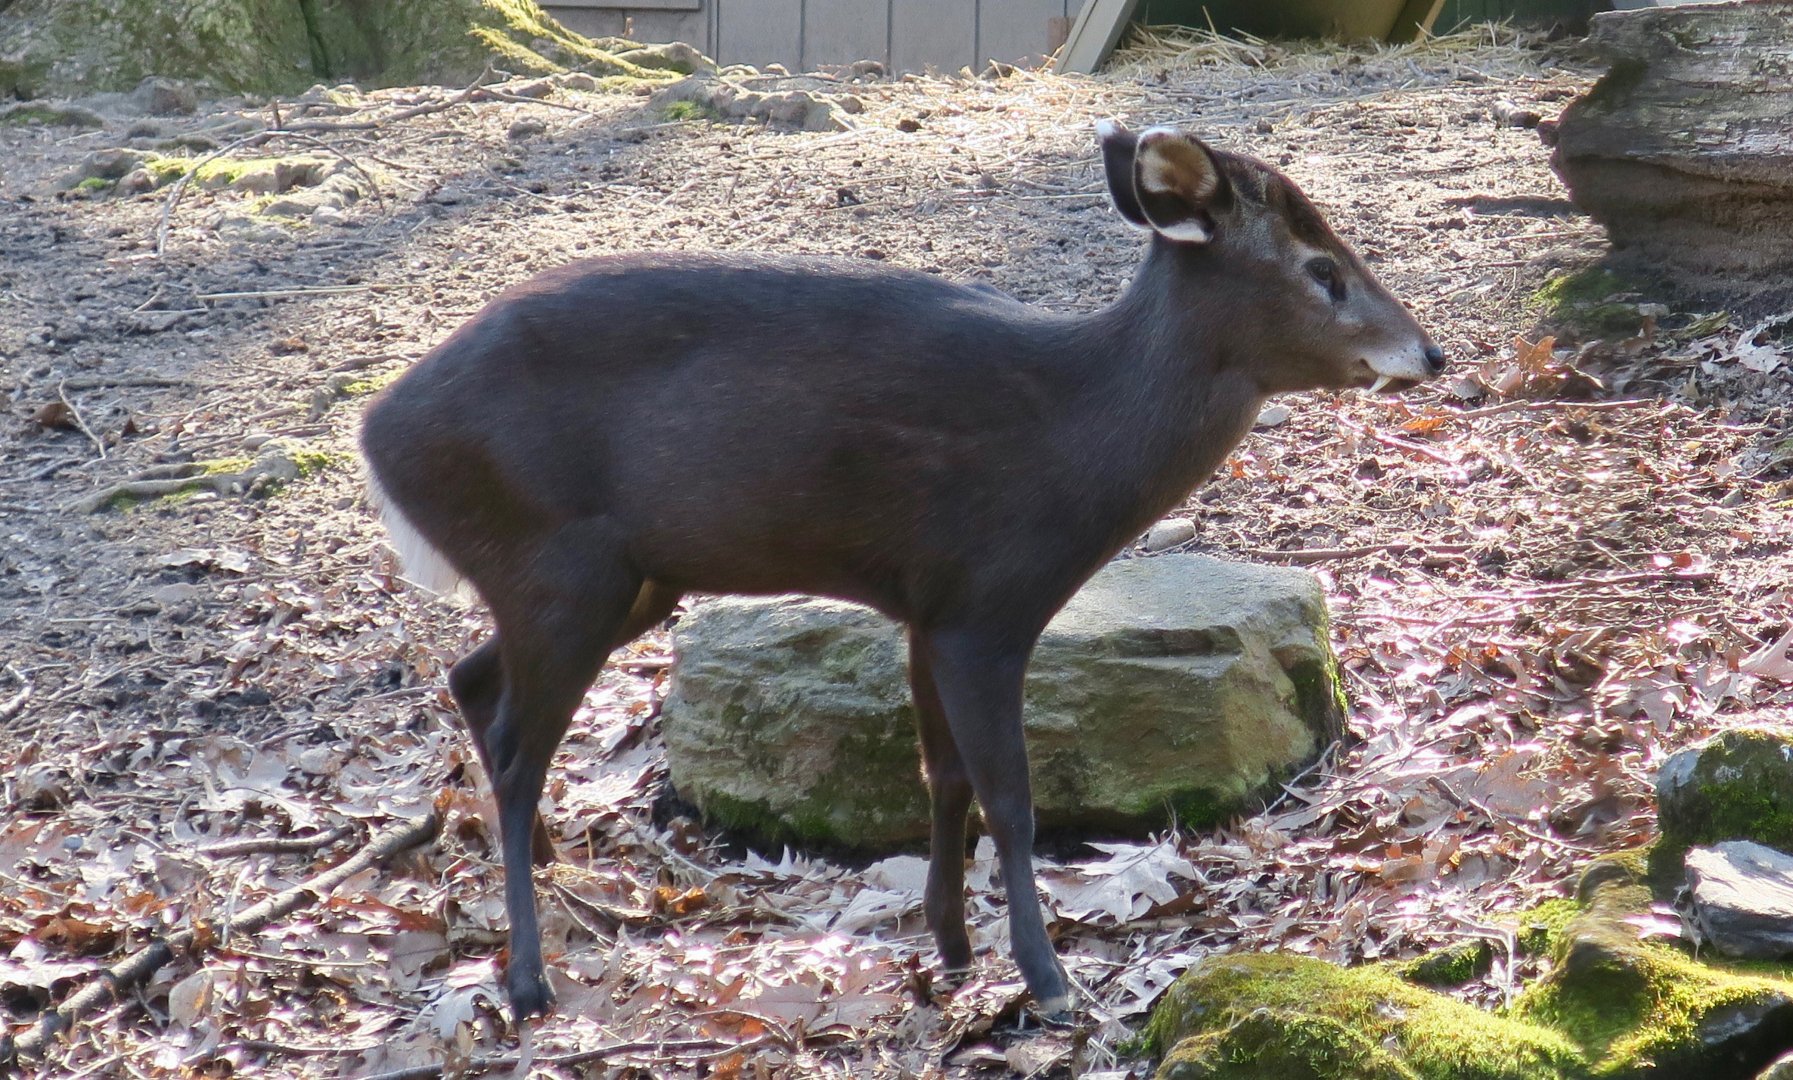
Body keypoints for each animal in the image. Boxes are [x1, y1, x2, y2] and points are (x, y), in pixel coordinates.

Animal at [359, 120, 1445, 1021]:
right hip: (559, 565)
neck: (1072, 440)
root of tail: (377, 435)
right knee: (515, 749)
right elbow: (1009, 796)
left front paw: (953, 946)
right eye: (1320, 267)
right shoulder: (987, 604)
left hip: (621, 579)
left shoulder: (925, 606)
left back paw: (551, 878)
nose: (1427, 353)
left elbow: (944, 777)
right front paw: (1046, 979)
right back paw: (529, 978)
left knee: (473, 681)